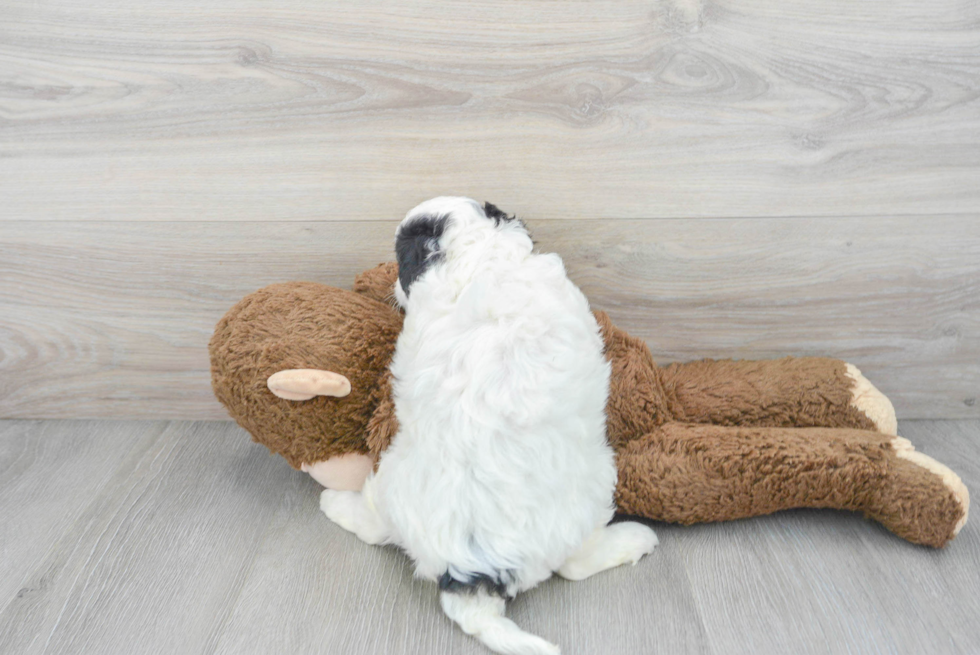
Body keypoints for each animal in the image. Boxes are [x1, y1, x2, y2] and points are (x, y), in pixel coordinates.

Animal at [322, 199, 660, 655]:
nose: (394, 287)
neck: (479, 261)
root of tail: (471, 574)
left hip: (394, 481)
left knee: (378, 526)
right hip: (593, 486)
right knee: (573, 563)